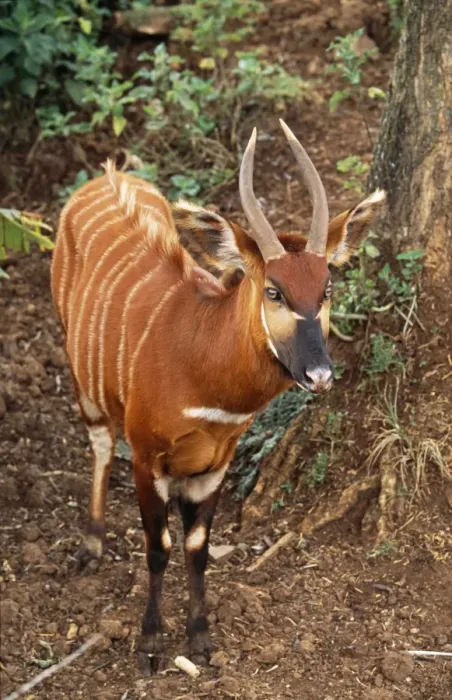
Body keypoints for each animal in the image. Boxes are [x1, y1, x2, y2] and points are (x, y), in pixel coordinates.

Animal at [51, 120, 385, 672]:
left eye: (327, 289)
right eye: (274, 290)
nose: (319, 375)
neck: (202, 369)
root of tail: (106, 174)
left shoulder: (214, 465)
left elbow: (198, 547)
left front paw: (200, 638)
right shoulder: (147, 457)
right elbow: (158, 545)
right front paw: (150, 643)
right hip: (82, 377)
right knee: (99, 443)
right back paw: (91, 546)